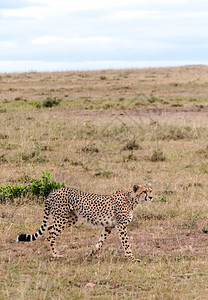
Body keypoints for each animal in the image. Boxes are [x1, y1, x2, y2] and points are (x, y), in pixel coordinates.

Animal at [16, 184, 153, 262]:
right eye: (144, 191)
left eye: (151, 190)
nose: (151, 197)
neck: (132, 199)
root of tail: (53, 191)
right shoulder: (121, 226)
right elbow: (126, 243)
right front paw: (132, 258)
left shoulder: (109, 226)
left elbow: (100, 242)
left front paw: (91, 254)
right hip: (62, 219)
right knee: (50, 236)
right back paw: (56, 255)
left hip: (69, 218)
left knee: (49, 228)